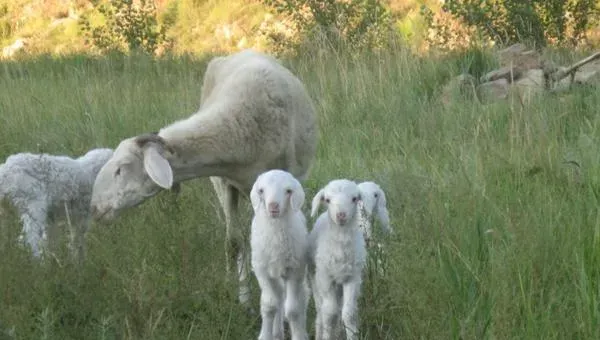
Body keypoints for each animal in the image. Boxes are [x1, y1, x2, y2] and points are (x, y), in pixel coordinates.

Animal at [88, 48, 318, 306]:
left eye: (121, 168)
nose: (94, 208)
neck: (238, 129)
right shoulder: (224, 183)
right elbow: (234, 241)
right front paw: (244, 298)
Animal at [248, 170, 310, 340]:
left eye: (288, 191)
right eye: (261, 190)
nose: (273, 206)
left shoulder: (295, 270)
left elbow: (293, 310)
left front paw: (298, 335)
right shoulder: (262, 270)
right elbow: (269, 305)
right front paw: (265, 335)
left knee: (299, 298)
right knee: (278, 297)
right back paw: (276, 332)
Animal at [308, 179, 368, 338]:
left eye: (354, 198)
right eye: (328, 200)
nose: (341, 215)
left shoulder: (352, 278)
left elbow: (348, 313)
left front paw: (352, 335)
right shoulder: (325, 278)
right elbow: (330, 313)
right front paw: (327, 335)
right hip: (315, 278)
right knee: (320, 310)